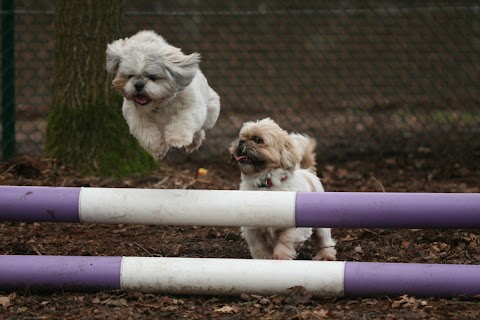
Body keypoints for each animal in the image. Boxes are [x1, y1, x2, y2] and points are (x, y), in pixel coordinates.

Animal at [106, 30, 220, 159]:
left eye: (152, 77)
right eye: (130, 76)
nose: (138, 84)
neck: (160, 104)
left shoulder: (191, 107)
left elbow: (183, 121)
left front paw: (177, 140)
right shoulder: (134, 113)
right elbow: (145, 130)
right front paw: (157, 147)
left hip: (210, 113)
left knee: (200, 128)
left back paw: (194, 142)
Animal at [230, 117, 338, 260]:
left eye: (258, 140)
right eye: (241, 137)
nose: (241, 141)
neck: (266, 185)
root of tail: (307, 171)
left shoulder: (297, 227)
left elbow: (286, 239)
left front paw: (281, 257)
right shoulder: (253, 231)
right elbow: (260, 249)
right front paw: (265, 260)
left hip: (321, 226)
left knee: (324, 241)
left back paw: (326, 256)